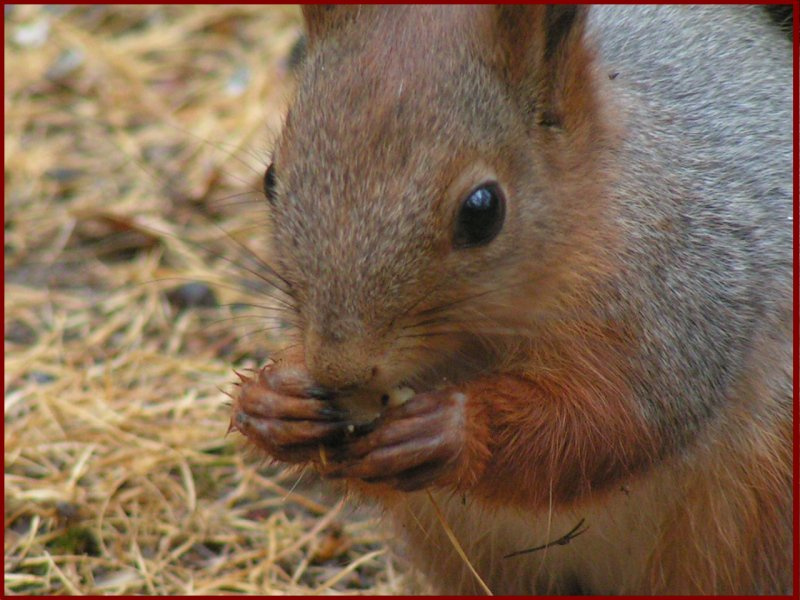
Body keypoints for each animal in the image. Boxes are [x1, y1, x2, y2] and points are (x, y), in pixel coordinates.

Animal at [230, 5, 793, 595]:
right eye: (270, 178)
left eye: (483, 210)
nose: (340, 370)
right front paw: (271, 401)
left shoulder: (681, 293)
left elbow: (617, 418)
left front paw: (453, 429)